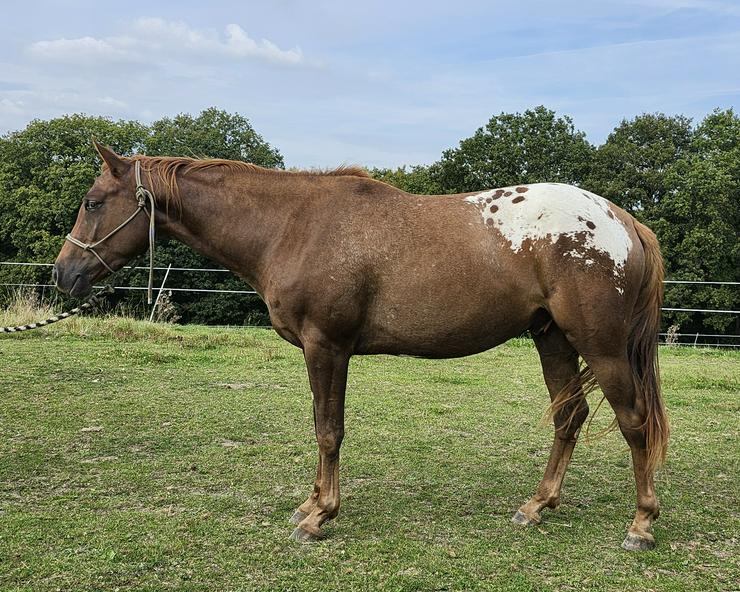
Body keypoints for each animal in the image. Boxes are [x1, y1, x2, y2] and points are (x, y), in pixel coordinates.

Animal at [55, 142, 672, 552]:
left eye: (92, 201)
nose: (64, 275)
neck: (292, 225)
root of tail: (622, 220)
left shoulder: (326, 346)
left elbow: (328, 429)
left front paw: (319, 517)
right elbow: (322, 427)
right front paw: (310, 503)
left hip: (602, 347)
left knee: (634, 421)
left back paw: (641, 524)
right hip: (553, 339)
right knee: (570, 416)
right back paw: (536, 507)